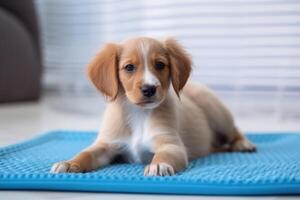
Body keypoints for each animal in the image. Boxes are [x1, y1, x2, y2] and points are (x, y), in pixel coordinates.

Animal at [51, 36, 255, 176]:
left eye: (160, 65)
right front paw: (70, 163)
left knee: (234, 130)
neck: (138, 114)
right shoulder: (106, 145)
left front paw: (158, 165)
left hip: (215, 109)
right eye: (129, 67)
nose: (149, 89)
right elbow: (86, 154)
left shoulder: (171, 144)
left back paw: (243, 143)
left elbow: (164, 155)